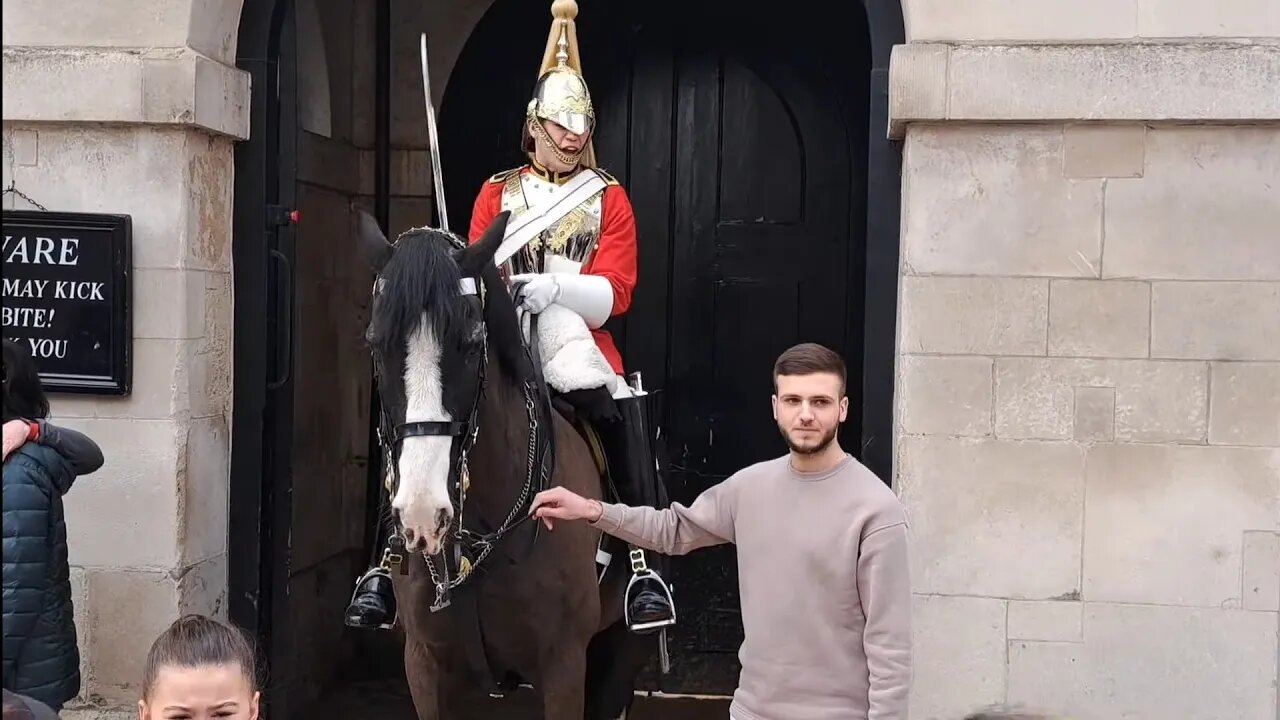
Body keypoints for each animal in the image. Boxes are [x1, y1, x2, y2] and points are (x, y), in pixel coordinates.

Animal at [353, 210, 650, 712]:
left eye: (473, 344)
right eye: (377, 344)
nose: (422, 514)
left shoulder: (564, 667)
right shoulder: (425, 665)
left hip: (620, 651)